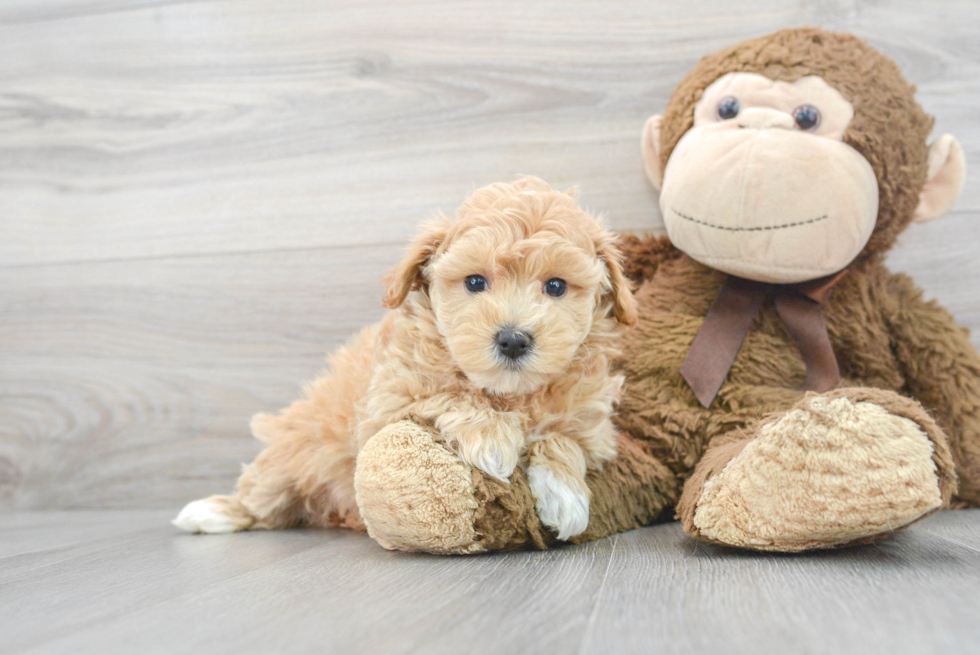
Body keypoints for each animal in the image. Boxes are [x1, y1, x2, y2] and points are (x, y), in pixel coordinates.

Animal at [172, 177, 640, 540]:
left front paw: (565, 494)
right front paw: (493, 438)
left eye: (556, 286)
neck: (509, 393)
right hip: (294, 449)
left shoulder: (593, 429)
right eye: (474, 282)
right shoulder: (387, 402)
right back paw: (211, 512)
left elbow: (565, 439)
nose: (512, 340)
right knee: (263, 495)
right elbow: (447, 394)